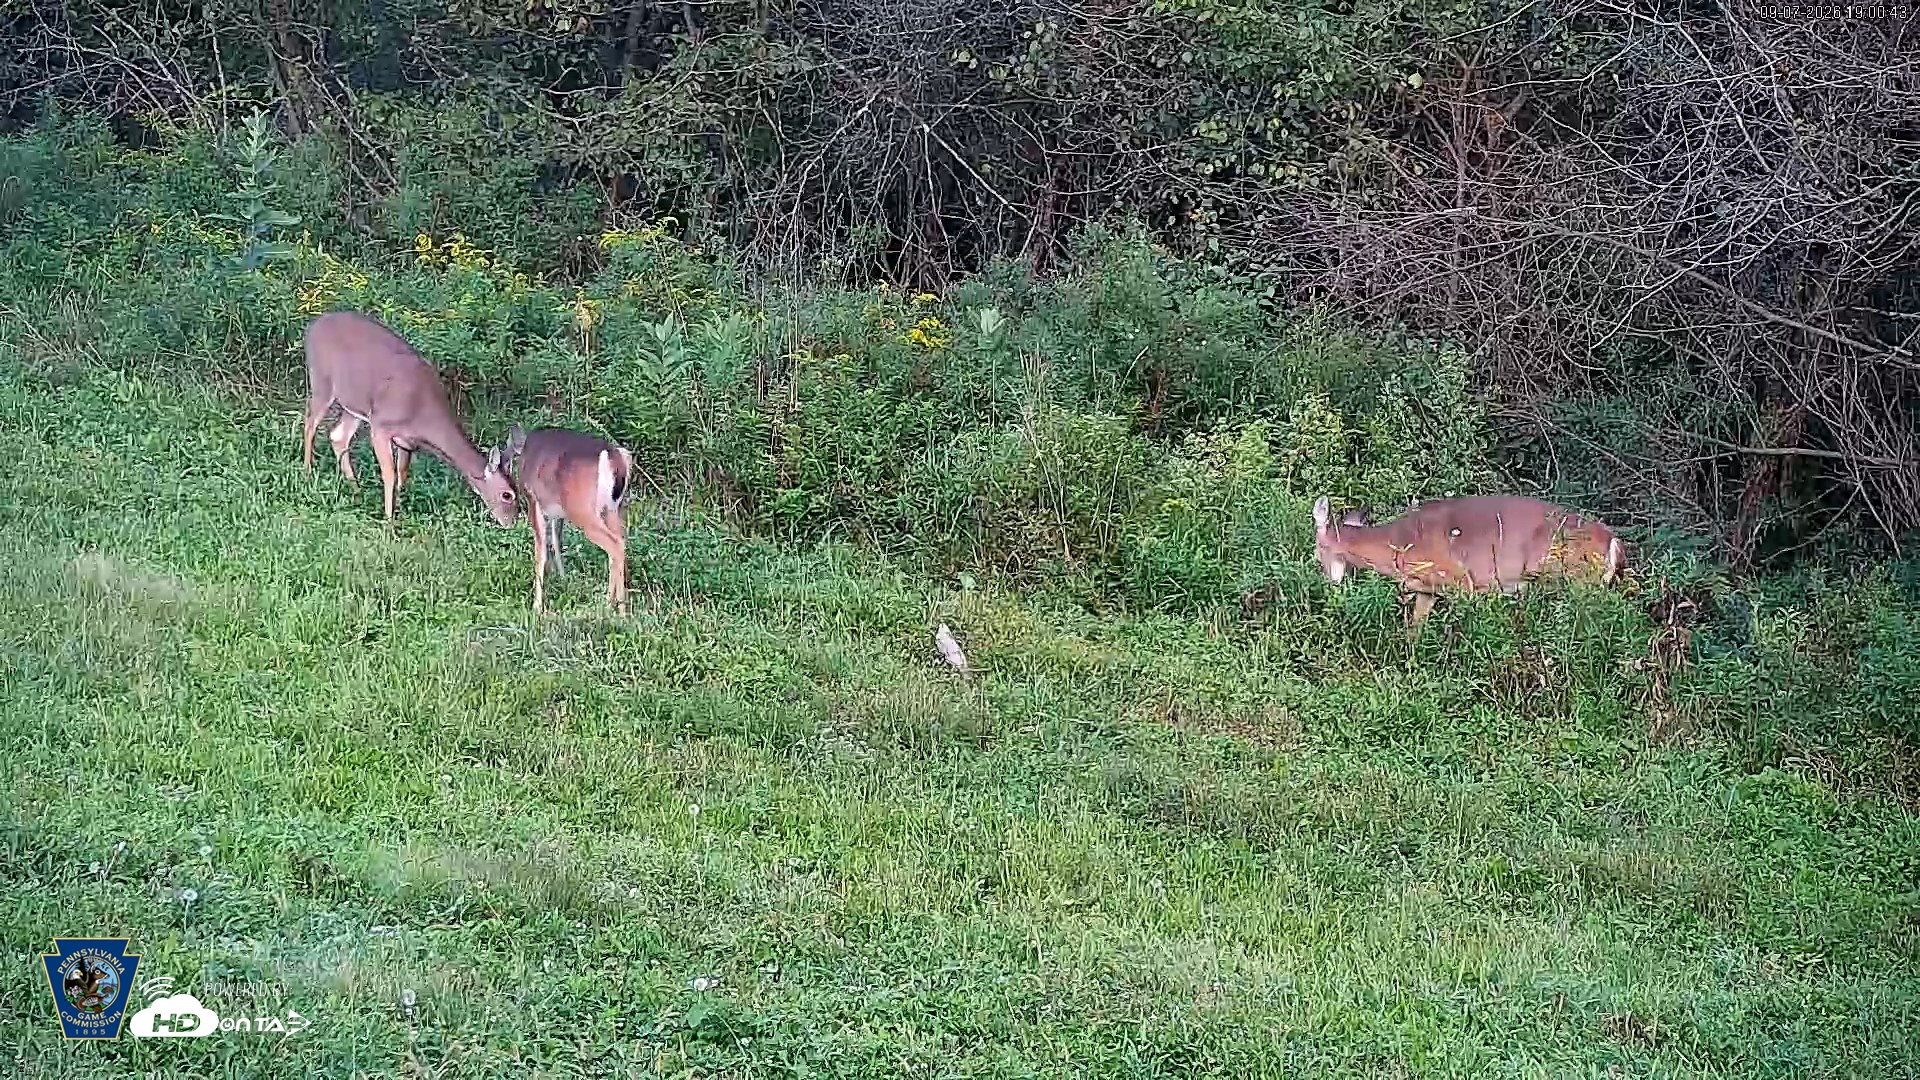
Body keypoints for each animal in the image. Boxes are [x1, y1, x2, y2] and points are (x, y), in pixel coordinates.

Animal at [301, 311, 521, 527]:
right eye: (507, 495)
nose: (512, 523)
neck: (423, 418)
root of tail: (313, 325)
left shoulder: (406, 442)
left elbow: (402, 472)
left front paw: (400, 505)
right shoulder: (381, 426)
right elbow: (389, 474)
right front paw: (389, 520)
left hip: (353, 403)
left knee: (338, 435)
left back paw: (356, 490)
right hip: (321, 380)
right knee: (310, 424)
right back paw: (307, 472)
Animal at [504, 425, 636, 615]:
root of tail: (612, 456)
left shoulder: (533, 500)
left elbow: (540, 552)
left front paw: (536, 607)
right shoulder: (557, 512)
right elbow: (556, 541)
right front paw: (563, 579)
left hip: (581, 509)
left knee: (615, 544)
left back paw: (621, 610)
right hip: (613, 509)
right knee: (620, 542)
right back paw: (608, 603)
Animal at [1312, 494, 1626, 627]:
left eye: (1318, 552)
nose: (1330, 582)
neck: (1400, 544)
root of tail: (1613, 541)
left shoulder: (1462, 581)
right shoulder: (1427, 590)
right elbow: (1413, 630)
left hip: (1574, 581)